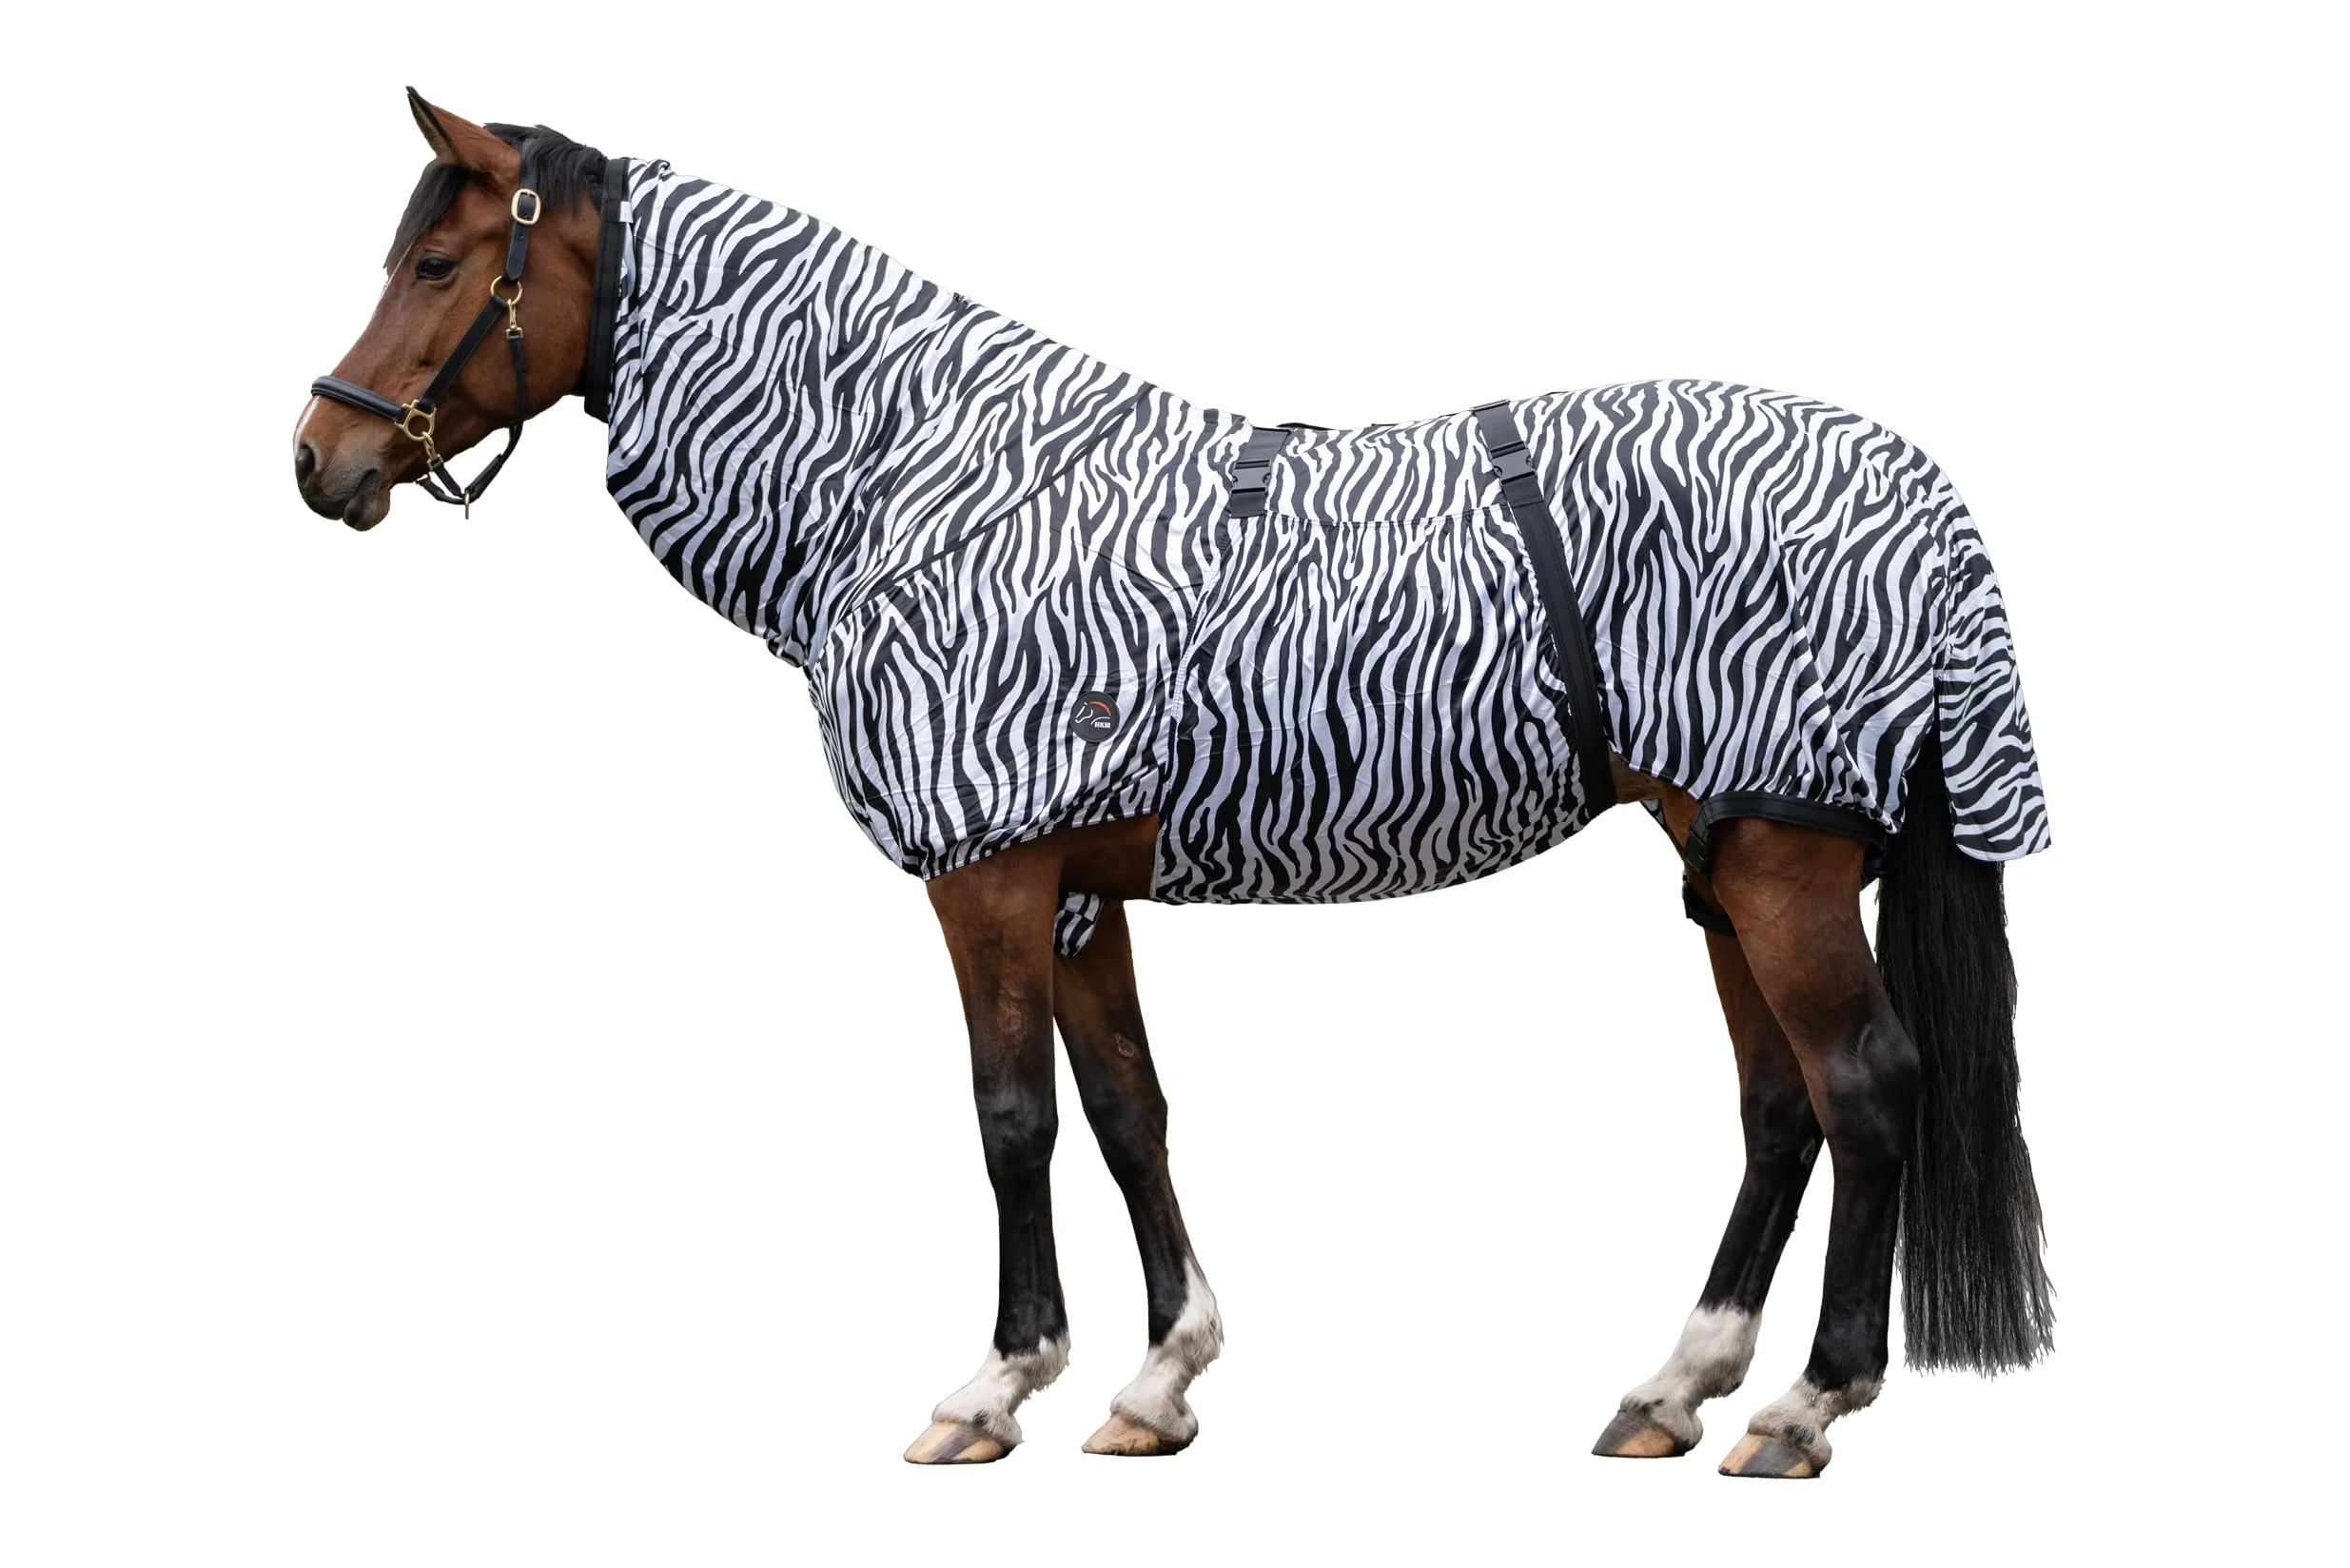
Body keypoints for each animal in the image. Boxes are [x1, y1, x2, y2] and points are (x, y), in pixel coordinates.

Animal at [293, 92, 2054, 1479]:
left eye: (438, 265)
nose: (320, 457)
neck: (929, 482)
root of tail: (1918, 487)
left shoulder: (987, 872)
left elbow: (1011, 1116)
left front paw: (998, 1382)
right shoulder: (1075, 885)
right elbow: (1127, 1106)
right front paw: (1159, 1378)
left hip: (1779, 864)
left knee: (1864, 1089)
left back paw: (1804, 1407)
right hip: (1729, 857)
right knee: (1779, 1106)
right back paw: (1674, 1387)